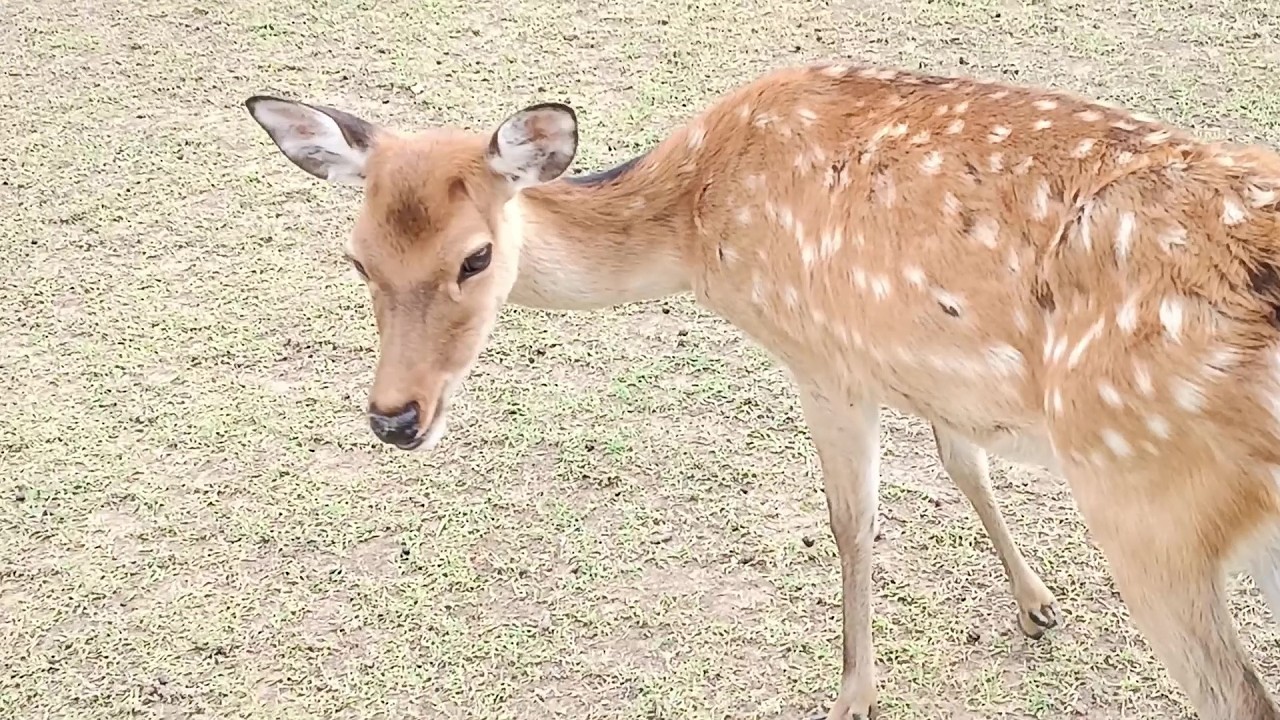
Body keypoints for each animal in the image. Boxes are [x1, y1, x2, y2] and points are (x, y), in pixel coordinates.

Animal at [242, 59, 1280, 719]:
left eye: (475, 258)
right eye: (357, 258)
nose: (394, 417)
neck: (697, 230)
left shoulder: (823, 357)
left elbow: (851, 522)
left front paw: (854, 695)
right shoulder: (919, 366)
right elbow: (963, 461)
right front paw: (1037, 604)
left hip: (1146, 506)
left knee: (1238, 694)